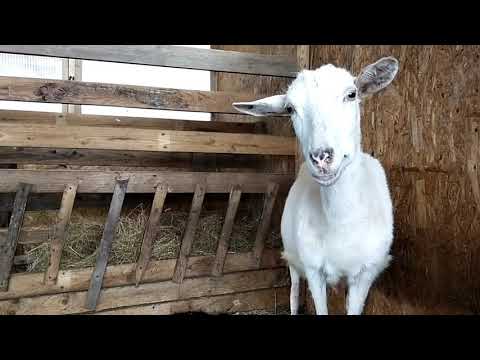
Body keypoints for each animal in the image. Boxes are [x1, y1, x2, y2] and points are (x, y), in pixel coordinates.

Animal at [234, 56, 400, 316]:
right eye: (290, 109)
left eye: (351, 94)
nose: (321, 157)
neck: (340, 222)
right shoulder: (313, 269)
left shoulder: (365, 273)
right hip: (293, 257)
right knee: (293, 291)